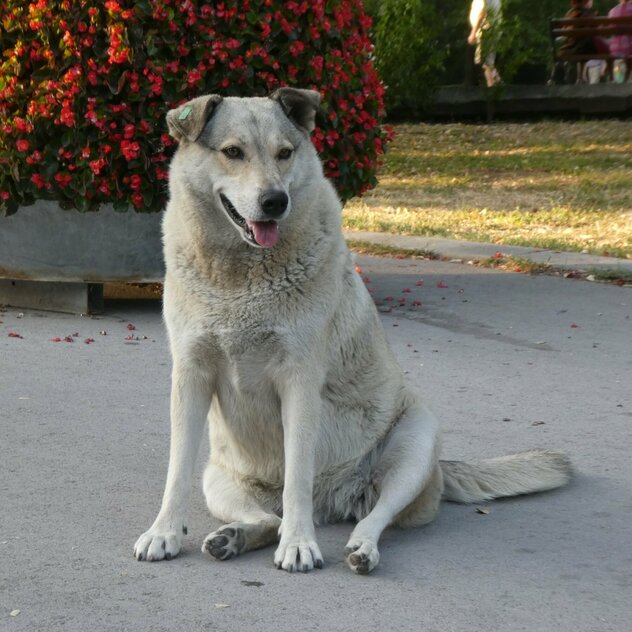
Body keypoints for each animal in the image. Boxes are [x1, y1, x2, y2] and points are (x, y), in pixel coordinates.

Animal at [131, 89, 572, 572]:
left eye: (285, 153)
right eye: (232, 152)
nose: (275, 201)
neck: (239, 278)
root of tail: (333, 501)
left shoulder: (299, 383)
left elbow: (298, 475)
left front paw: (299, 543)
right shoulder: (190, 376)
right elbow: (176, 470)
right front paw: (164, 532)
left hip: (414, 443)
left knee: (370, 517)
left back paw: (357, 548)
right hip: (220, 480)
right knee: (266, 518)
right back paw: (235, 536)